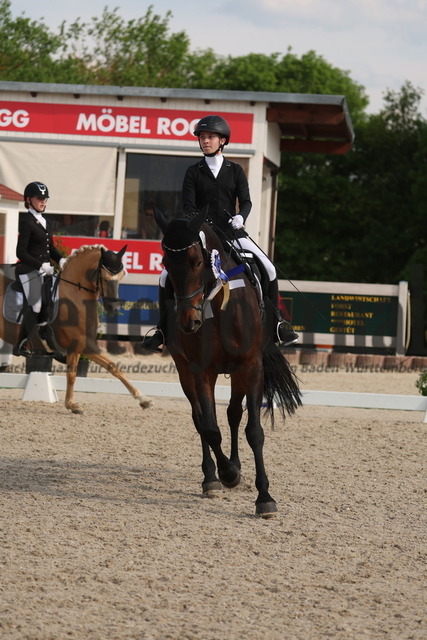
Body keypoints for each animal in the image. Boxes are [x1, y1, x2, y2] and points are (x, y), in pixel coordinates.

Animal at [0, 244, 153, 414]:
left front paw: (143, 399)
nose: (113, 307)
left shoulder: (82, 344)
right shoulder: (81, 343)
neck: (74, 296)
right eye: (105, 278)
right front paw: (72, 405)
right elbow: (76, 374)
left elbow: (109, 368)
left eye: (120, 277)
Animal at [155, 209, 302, 518]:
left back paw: (236, 465)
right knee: (200, 419)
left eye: (198, 262)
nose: (189, 322)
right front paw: (226, 474)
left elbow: (253, 431)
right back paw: (211, 477)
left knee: (234, 413)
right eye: (165, 264)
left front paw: (264, 497)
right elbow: (210, 428)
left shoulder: (251, 366)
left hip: (238, 373)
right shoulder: (201, 371)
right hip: (185, 370)